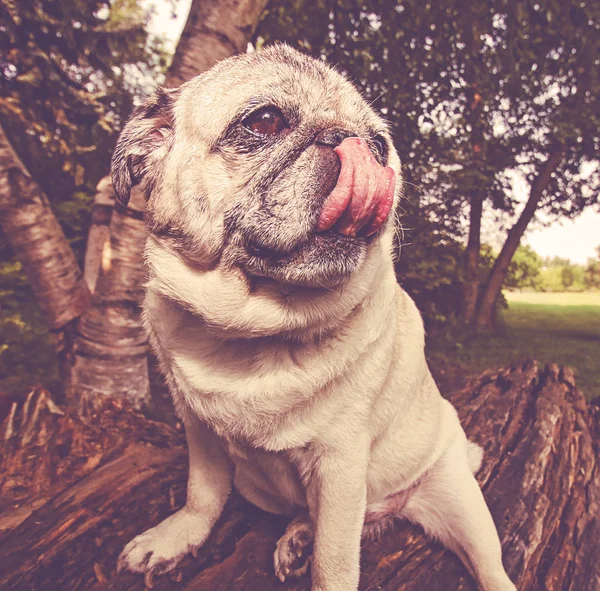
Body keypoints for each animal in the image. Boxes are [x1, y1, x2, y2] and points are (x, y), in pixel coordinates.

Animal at [111, 42, 516, 591]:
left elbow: (335, 561)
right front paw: (179, 536)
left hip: (457, 500)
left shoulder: (341, 463)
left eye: (381, 143)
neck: (253, 329)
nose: (358, 145)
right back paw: (299, 535)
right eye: (264, 121)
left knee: (485, 563)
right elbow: (203, 492)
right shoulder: (199, 429)